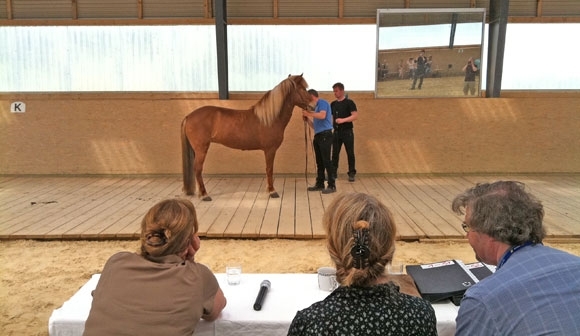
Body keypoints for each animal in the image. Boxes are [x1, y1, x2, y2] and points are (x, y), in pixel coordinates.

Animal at [181, 75, 310, 201]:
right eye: (303, 89)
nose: (312, 104)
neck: (271, 118)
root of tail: (189, 116)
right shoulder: (270, 150)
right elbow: (269, 169)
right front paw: (272, 191)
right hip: (201, 148)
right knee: (198, 169)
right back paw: (205, 195)